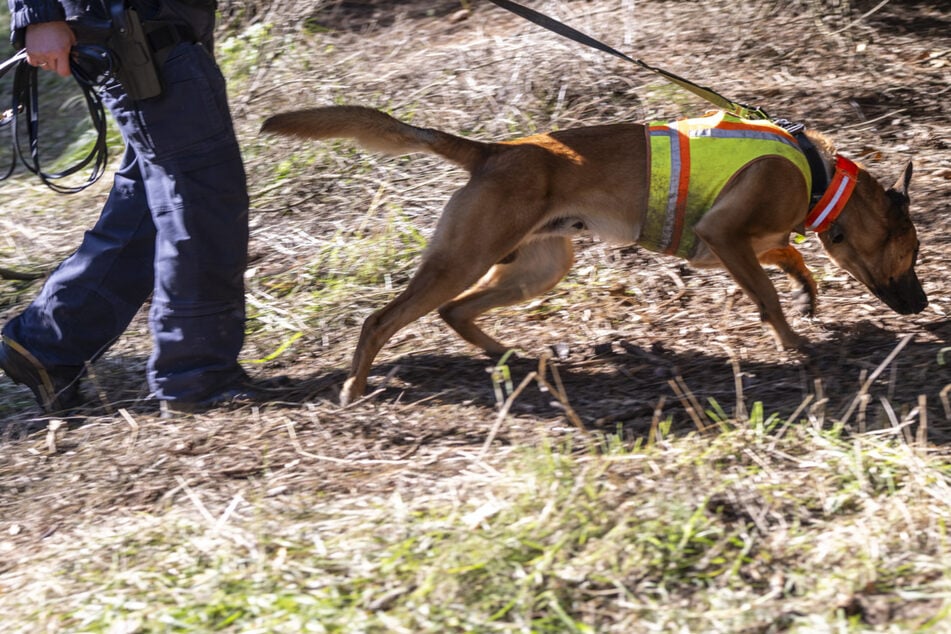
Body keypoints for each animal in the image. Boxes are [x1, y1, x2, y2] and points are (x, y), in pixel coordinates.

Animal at [258, 103, 924, 400]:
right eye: (913, 254)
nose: (921, 304)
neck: (819, 179)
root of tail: (493, 151)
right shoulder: (725, 238)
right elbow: (767, 293)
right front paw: (795, 344)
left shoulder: (727, 247)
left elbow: (789, 258)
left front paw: (808, 293)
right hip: (465, 261)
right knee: (382, 319)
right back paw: (355, 388)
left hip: (539, 268)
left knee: (456, 311)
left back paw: (515, 358)